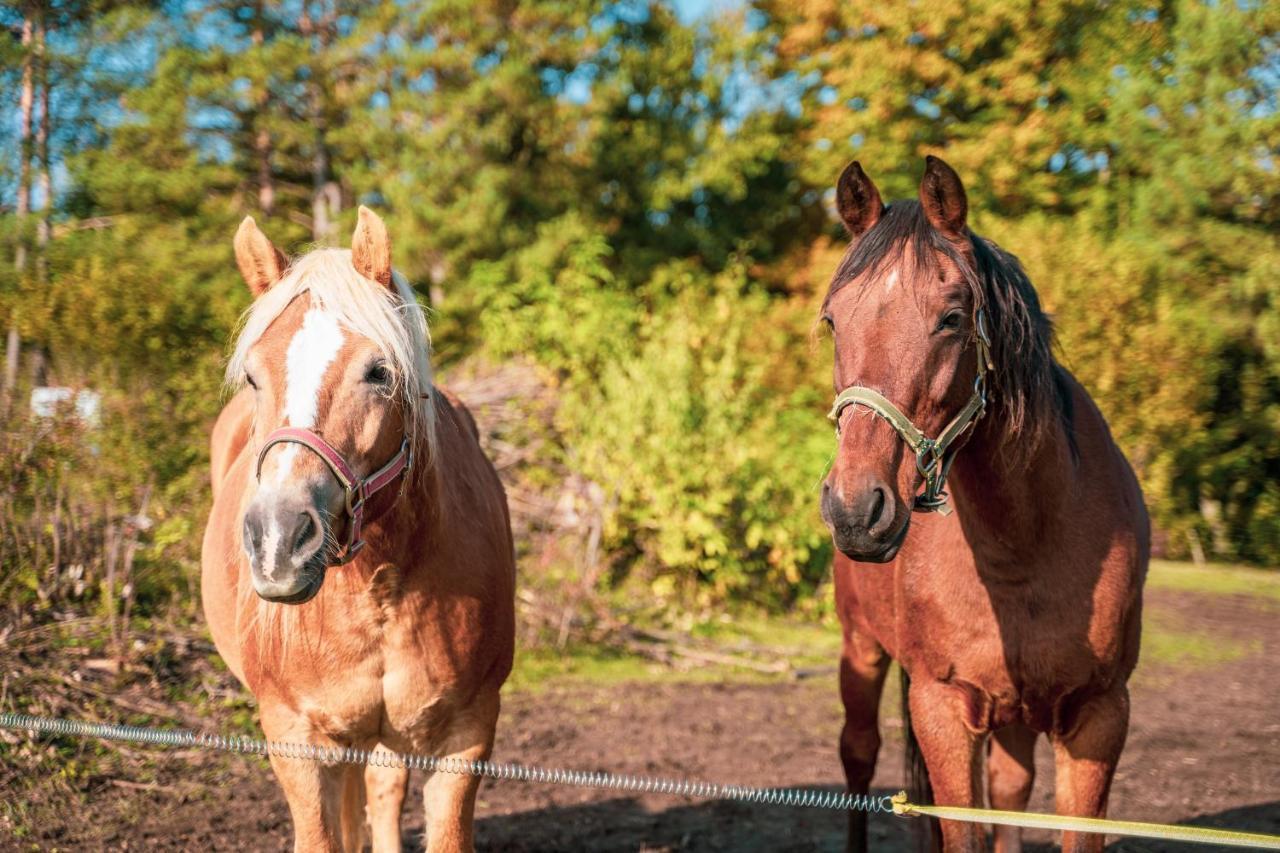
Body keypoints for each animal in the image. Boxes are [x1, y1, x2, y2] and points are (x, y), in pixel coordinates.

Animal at [202, 207, 512, 850]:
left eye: (378, 371)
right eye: (252, 378)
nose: (278, 542)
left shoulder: (467, 734)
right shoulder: (295, 738)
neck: (379, 585)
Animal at [819, 156, 1152, 845]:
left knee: (1009, 788)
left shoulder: (1099, 716)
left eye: (952, 318)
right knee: (858, 756)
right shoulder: (942, 707)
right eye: (834, 320)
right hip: (861, 650)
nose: (854, 509)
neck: (1023, 545)